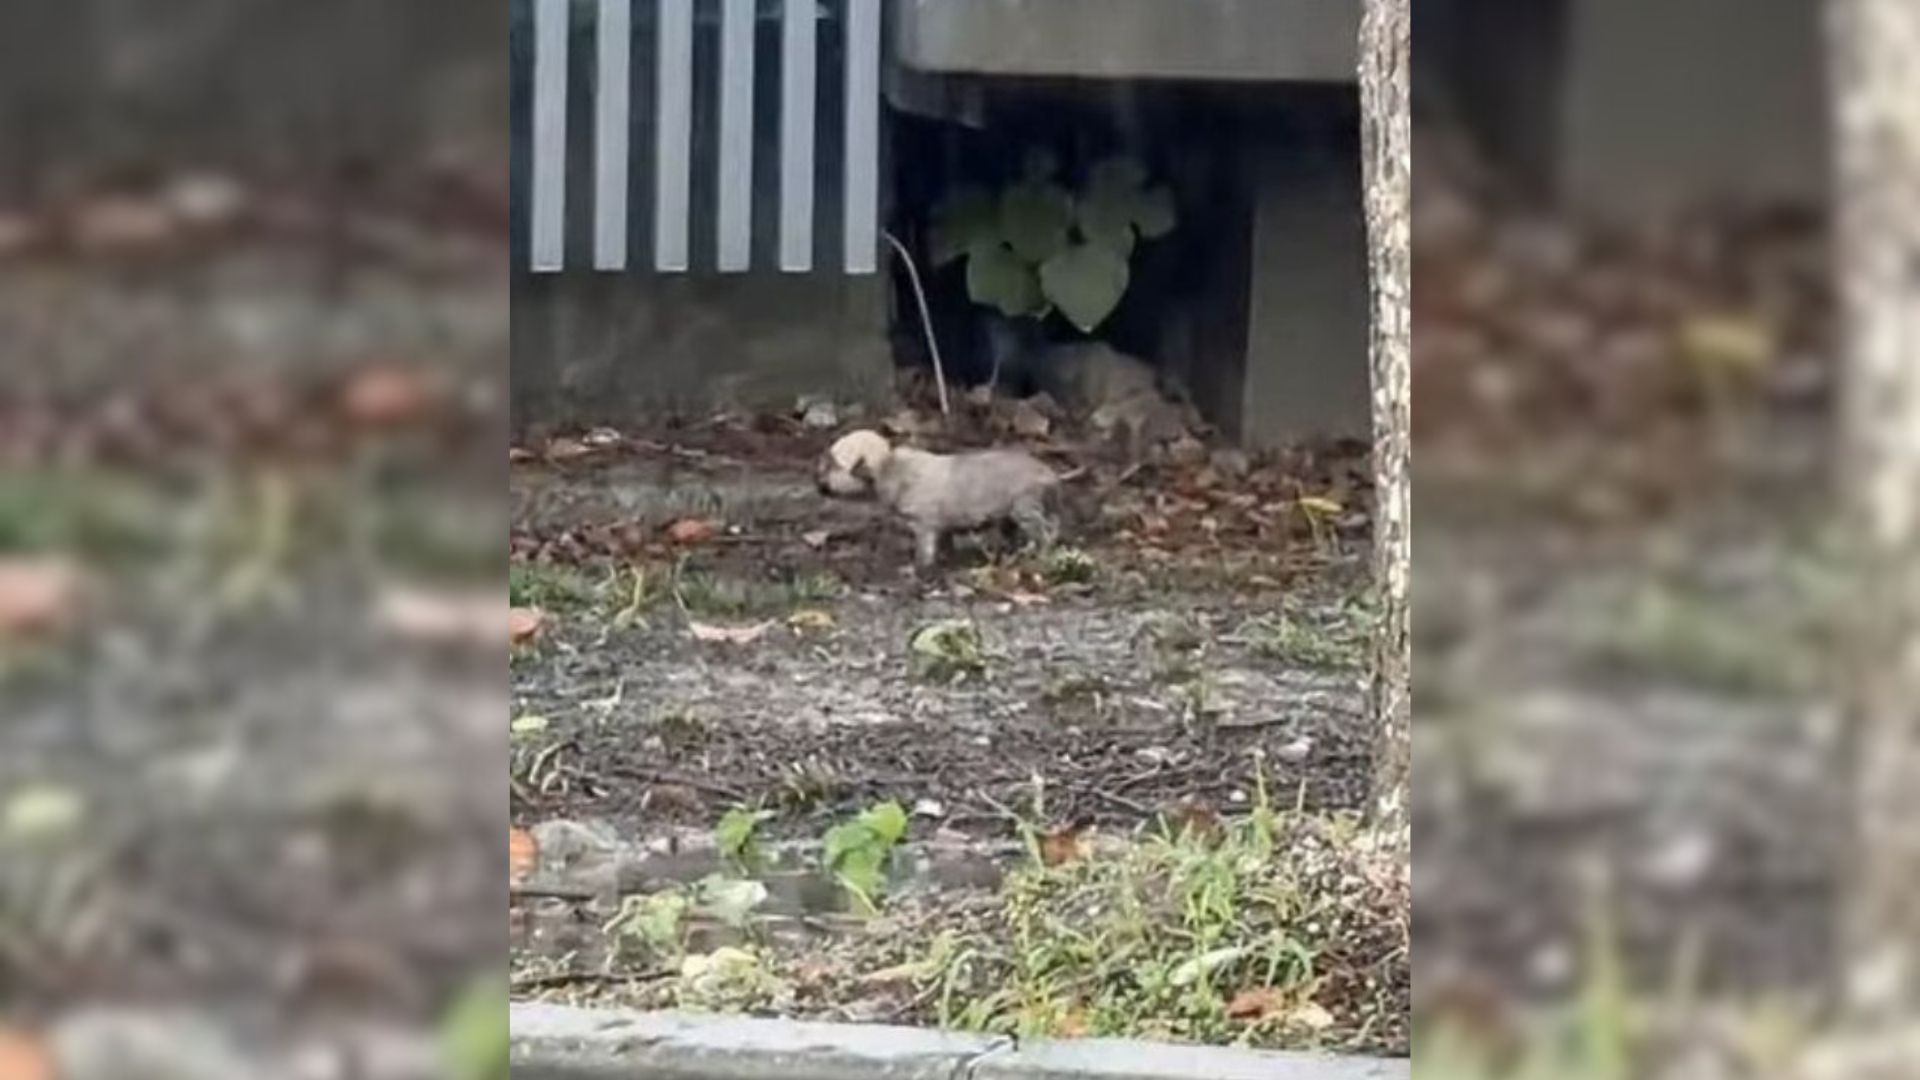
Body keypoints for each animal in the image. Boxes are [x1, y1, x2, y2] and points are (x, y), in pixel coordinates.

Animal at [814, 424, 1067, 568]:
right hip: (1015, 512)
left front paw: (919, 568)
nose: (818, 486)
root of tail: (1049, 473)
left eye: (833, 465)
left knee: (1043, 532)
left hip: (1025, 507)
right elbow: (945, 542)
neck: (892, 466)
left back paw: (1039, 554)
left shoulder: (924, 525)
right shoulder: (941, 526)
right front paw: (947, 559)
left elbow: (924, 552)